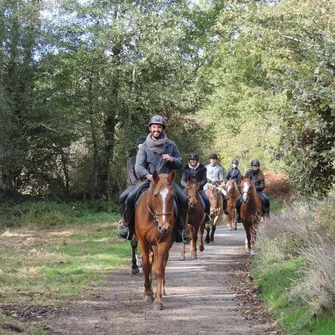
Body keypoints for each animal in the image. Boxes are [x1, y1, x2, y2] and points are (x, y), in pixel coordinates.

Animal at [135, 172, 178, 312]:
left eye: (172, 196)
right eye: (155, 195)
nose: (164, 227)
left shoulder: (163, 242)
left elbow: (159, 269)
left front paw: (158, 300)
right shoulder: (142, 241)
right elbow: (146, 266)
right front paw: (148, 293)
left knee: (161, 264)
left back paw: (161, 290)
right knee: (149, 261)